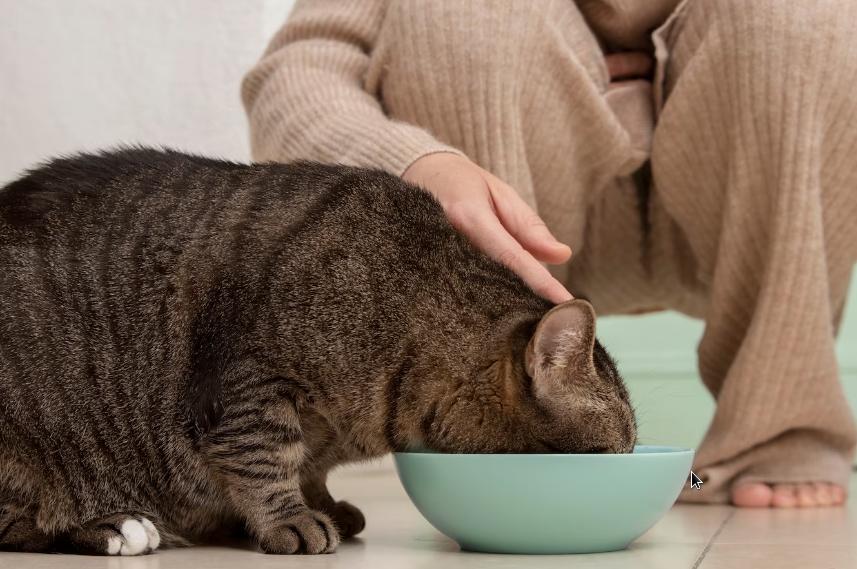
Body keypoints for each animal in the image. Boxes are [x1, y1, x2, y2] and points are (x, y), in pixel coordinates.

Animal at [0, 149, 636, 556]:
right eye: (611, 453)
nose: (632, 463)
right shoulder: (248, 383)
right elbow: (264, 456)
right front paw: (291, 518)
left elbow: (307, 467)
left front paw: (321, 503)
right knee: (20, 526)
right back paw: (115, 526)